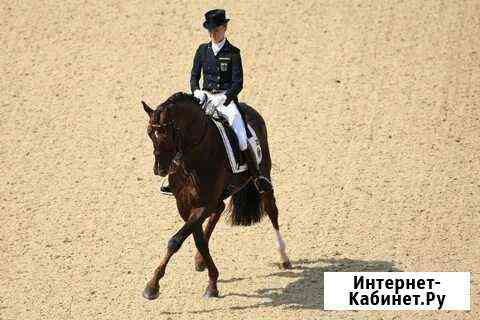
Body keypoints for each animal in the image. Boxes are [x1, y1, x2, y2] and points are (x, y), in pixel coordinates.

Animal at [141, 92, 290, 300]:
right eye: (149, 133)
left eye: (165, 133)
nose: (160, 169)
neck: (193, 156)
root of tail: (250, 110)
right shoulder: (185, 204)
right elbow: (198, 240)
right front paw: (210, 279)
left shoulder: (203, 204)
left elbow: (176, 240)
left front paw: (153, 286)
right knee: (219, 209)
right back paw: (200, 261)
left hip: (264, 177)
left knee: (271, 211)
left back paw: (284, 258)